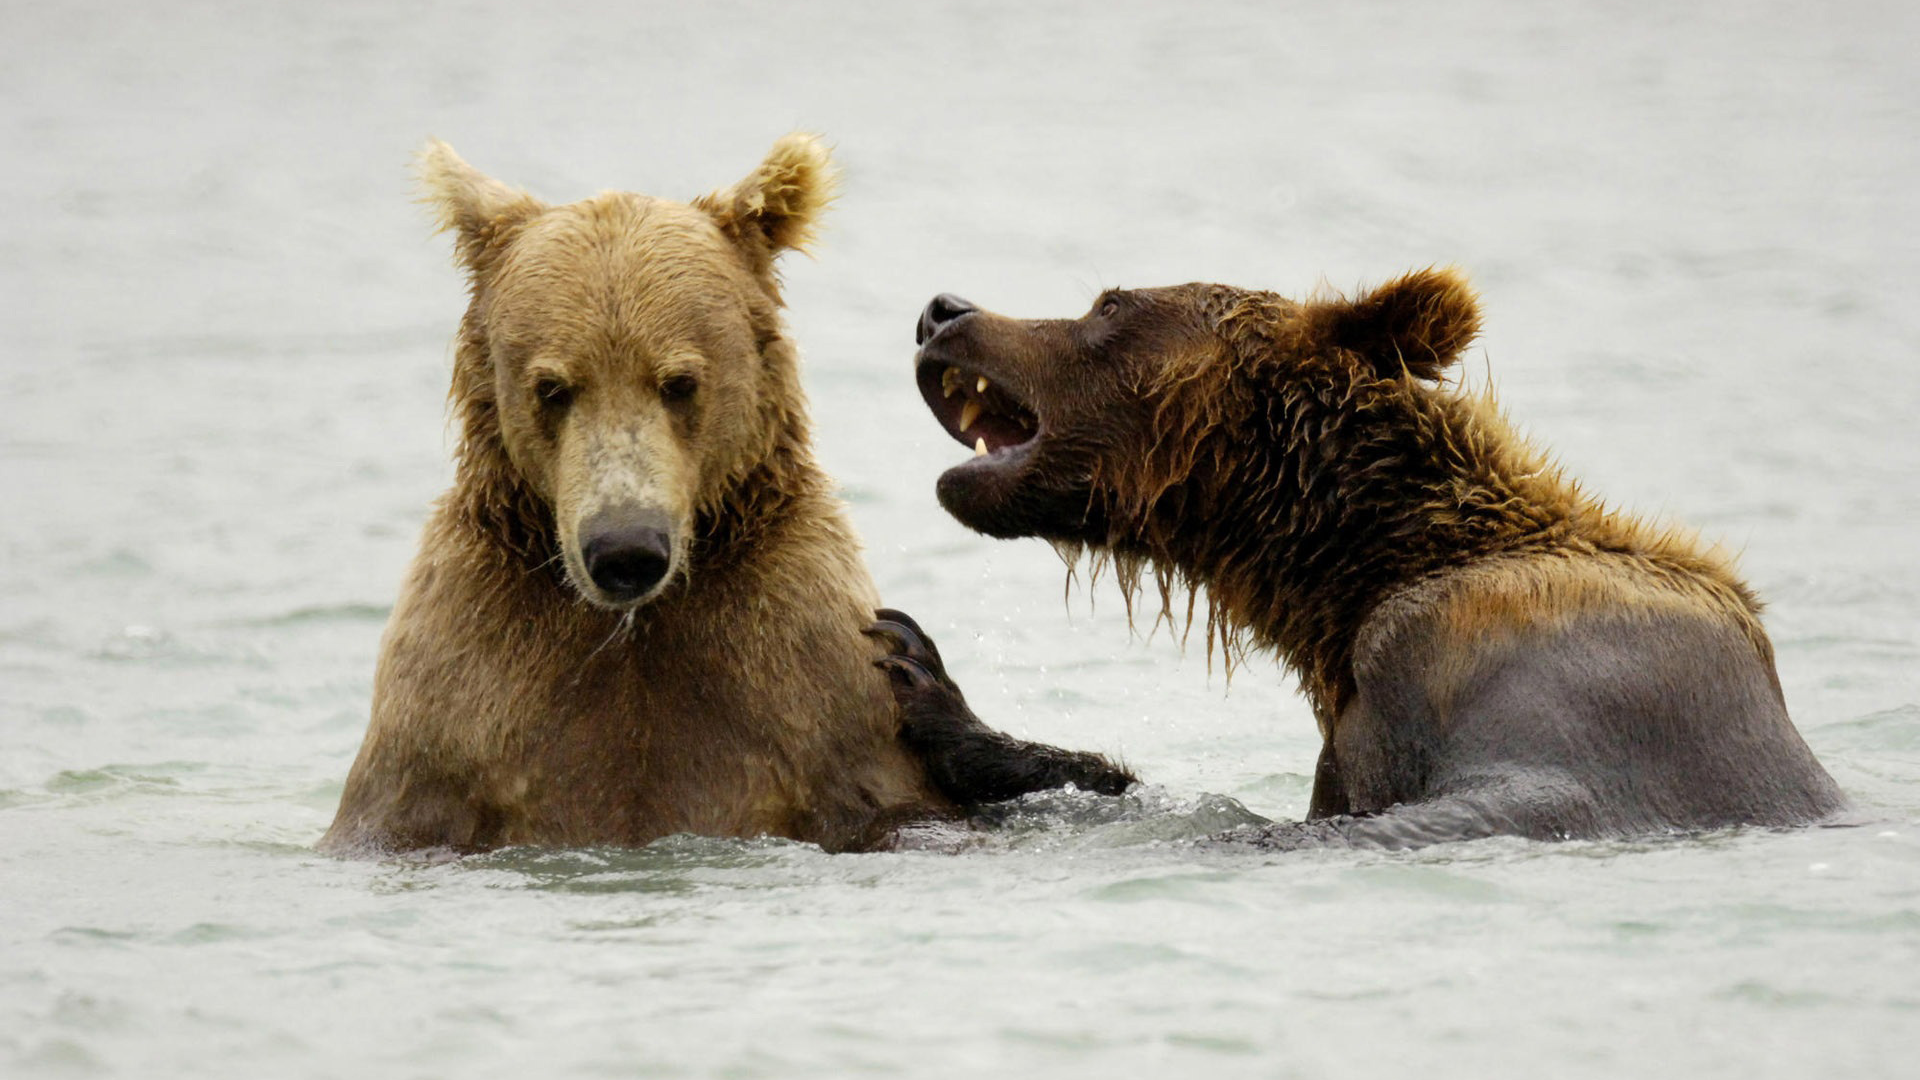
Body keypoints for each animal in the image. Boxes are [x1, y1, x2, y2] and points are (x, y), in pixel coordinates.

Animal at [322, 134, 1128, 853]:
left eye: (679, 380)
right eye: (552, 387)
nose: (626, 549)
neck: (635, 627)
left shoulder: (803, 676)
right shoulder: (462, 701)